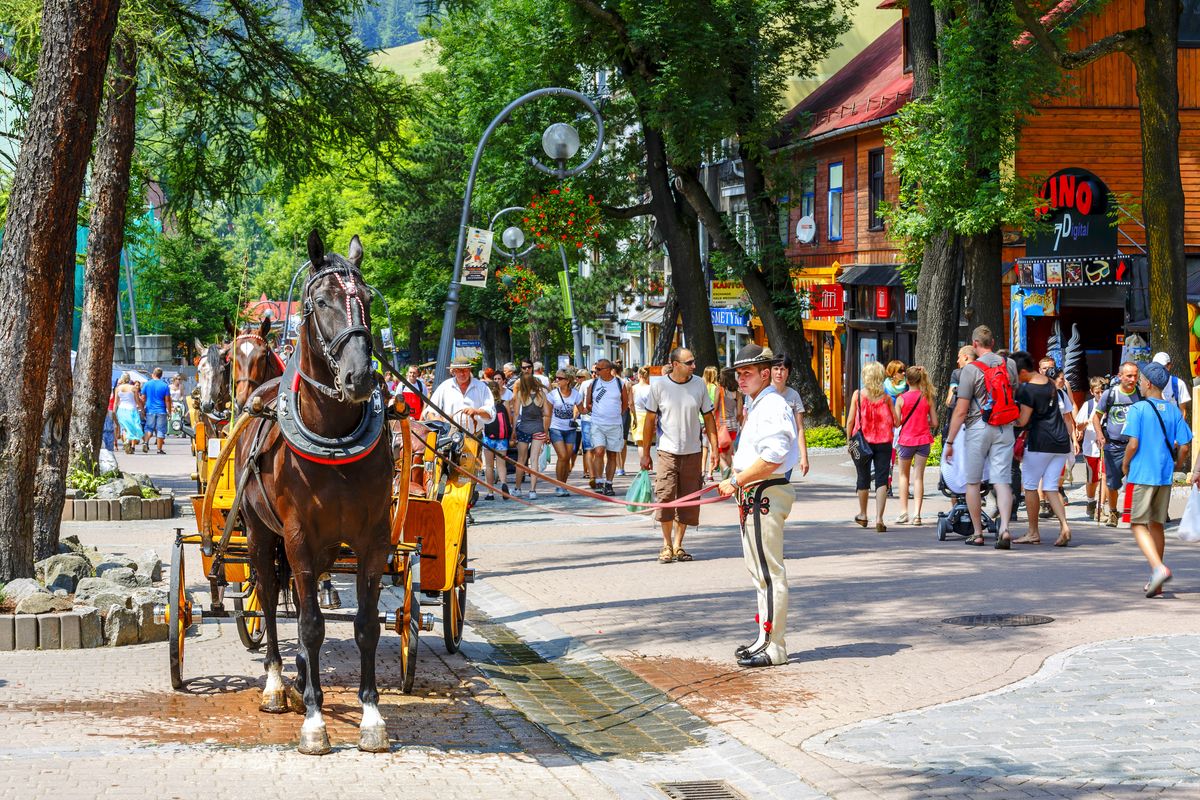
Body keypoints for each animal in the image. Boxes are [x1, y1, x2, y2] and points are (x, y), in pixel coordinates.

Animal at [236, 231, 396, 758]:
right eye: (321, 301)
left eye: (367, 300)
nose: (360, 377)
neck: (333, 435)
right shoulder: (298, 538)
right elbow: (308, 625)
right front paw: (314, 721)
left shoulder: (373, 540)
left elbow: (366, 625)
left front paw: (371, 716)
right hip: (262, 535)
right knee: (269, 597)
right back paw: (276, 684)